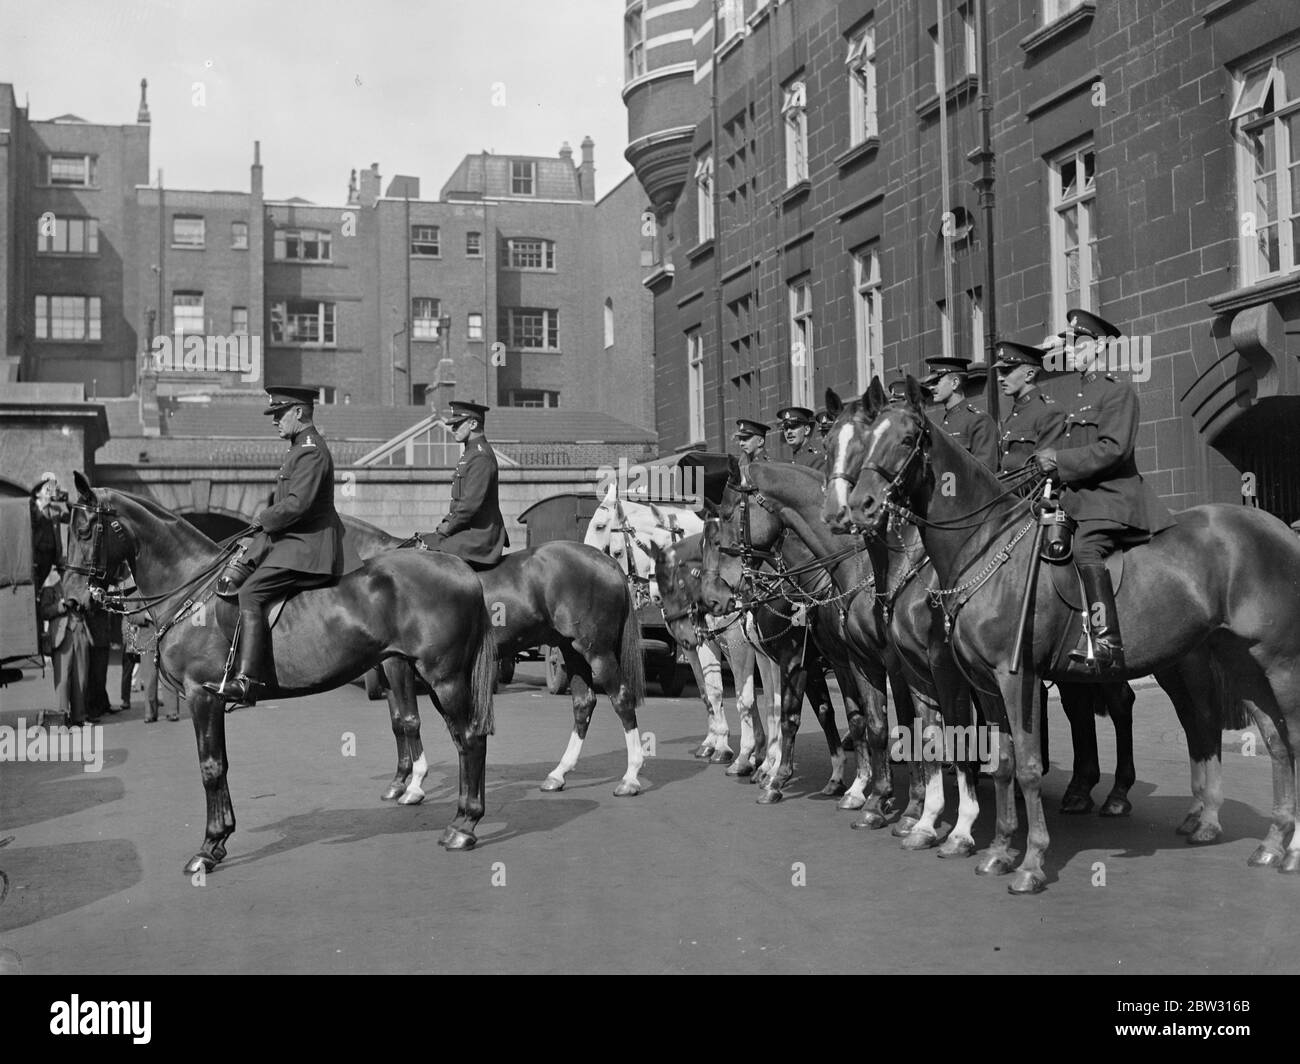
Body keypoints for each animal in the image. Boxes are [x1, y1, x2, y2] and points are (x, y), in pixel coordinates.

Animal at [61, 473, 499, 868]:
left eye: (84, 530)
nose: (71, 600)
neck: (193, 592)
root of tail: (459, 567)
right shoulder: (211, 700)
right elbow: (221, 764)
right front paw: (220, 839)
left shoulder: (203, 695)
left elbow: (210, 767)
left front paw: (208, 846)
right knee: (461, 738)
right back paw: (461, 816)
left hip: (444, 678)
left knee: (470, 739)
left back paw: (464, 826)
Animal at [340, 515, 650, 796]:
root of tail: (606, 560)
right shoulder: (388, 667)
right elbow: (397, 722)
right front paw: (398, 780)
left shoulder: (398, 664)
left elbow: (409, 719)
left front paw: (414, 783)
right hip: (571, 650)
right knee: (583, 703)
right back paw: (559, 773)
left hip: (596, 651)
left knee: (622, 699)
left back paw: (631, 777)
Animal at [826, 377, 1300, 889]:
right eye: (859, 439)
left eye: (907, 438)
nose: (857, 508)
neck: (984, 547)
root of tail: (1280, 528)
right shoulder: (983, 684)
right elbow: (1002, 763)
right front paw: (998, 850)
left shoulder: (1014, 677)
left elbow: (1027, 766)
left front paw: (1030, 861)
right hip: (1242, 664)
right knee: (1273, 742)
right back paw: (1270, 842)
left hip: (1278, 664)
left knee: (1276, 736)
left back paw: (1282, 845)